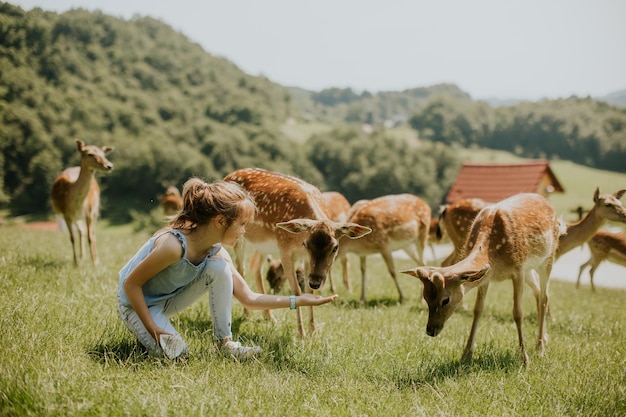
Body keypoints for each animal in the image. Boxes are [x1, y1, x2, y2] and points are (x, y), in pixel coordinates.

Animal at [224, 167, 370, 336]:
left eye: (335, 247)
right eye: (306, 244)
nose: (316, 282)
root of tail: (228, 175)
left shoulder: (306, 259)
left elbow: (308, 291)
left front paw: (314, 332)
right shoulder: (284, 248)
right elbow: (296, 290)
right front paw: (301, 335)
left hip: (263, 245)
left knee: (254, 265)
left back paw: (270, 318)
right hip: (238, 236)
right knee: (241, 268)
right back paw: (246, 315)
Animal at [402, 193, 564, 366]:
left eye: (445, 300)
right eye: (425, 298)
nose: (430, 330)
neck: (493, 256)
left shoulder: (518, 270)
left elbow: (518, 313)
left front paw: (524, 359)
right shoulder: (487, 277)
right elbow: (478, 310)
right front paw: (466, 355)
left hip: (549, 257)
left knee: (544, 297)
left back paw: (540, 348)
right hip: (530, 268)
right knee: (539, 292)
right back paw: (544, 340)